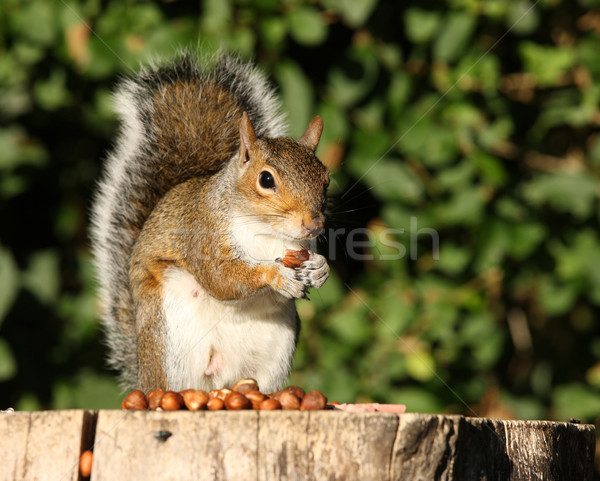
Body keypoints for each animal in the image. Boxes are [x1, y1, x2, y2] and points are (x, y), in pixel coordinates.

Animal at [91, 52, 330, 392]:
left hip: (274, 352)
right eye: (266, 179)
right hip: (169, 343)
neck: (268, 231)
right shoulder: (203, 233)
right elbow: (221, 277)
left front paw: (321, 269)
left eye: (326, 180)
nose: (312, 224)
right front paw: (276, 275)